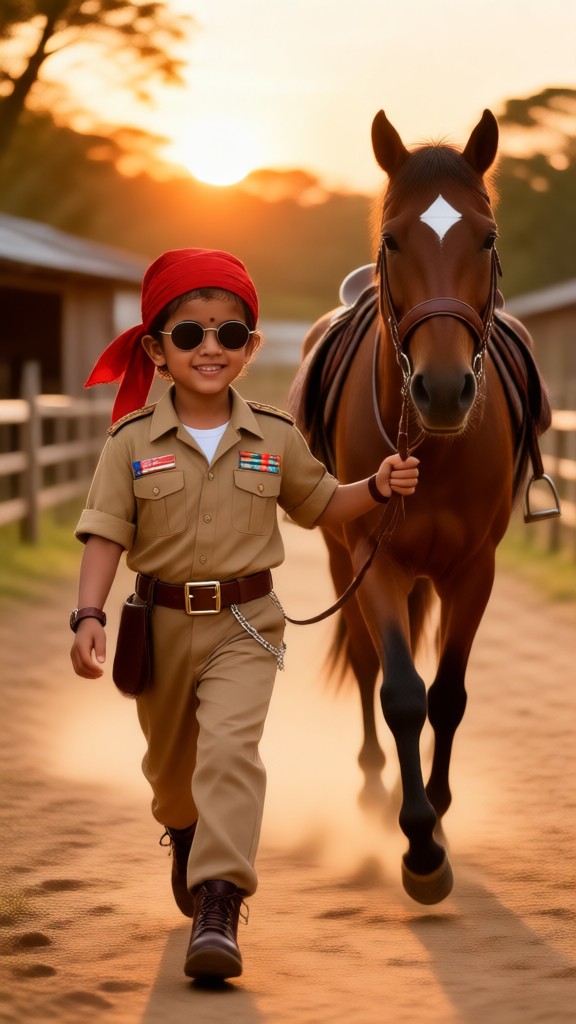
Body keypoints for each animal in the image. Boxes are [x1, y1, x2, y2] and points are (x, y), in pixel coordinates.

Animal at [288, 109, 555, 906]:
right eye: (393, 239)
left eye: (488, 238)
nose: (441, 390)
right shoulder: (376, 565)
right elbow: (402, 692)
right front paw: (419, 846)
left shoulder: (473, 572)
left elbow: (449, 696)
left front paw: (436, 812)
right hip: (348, 565)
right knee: (368, 665)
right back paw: (376, 791)